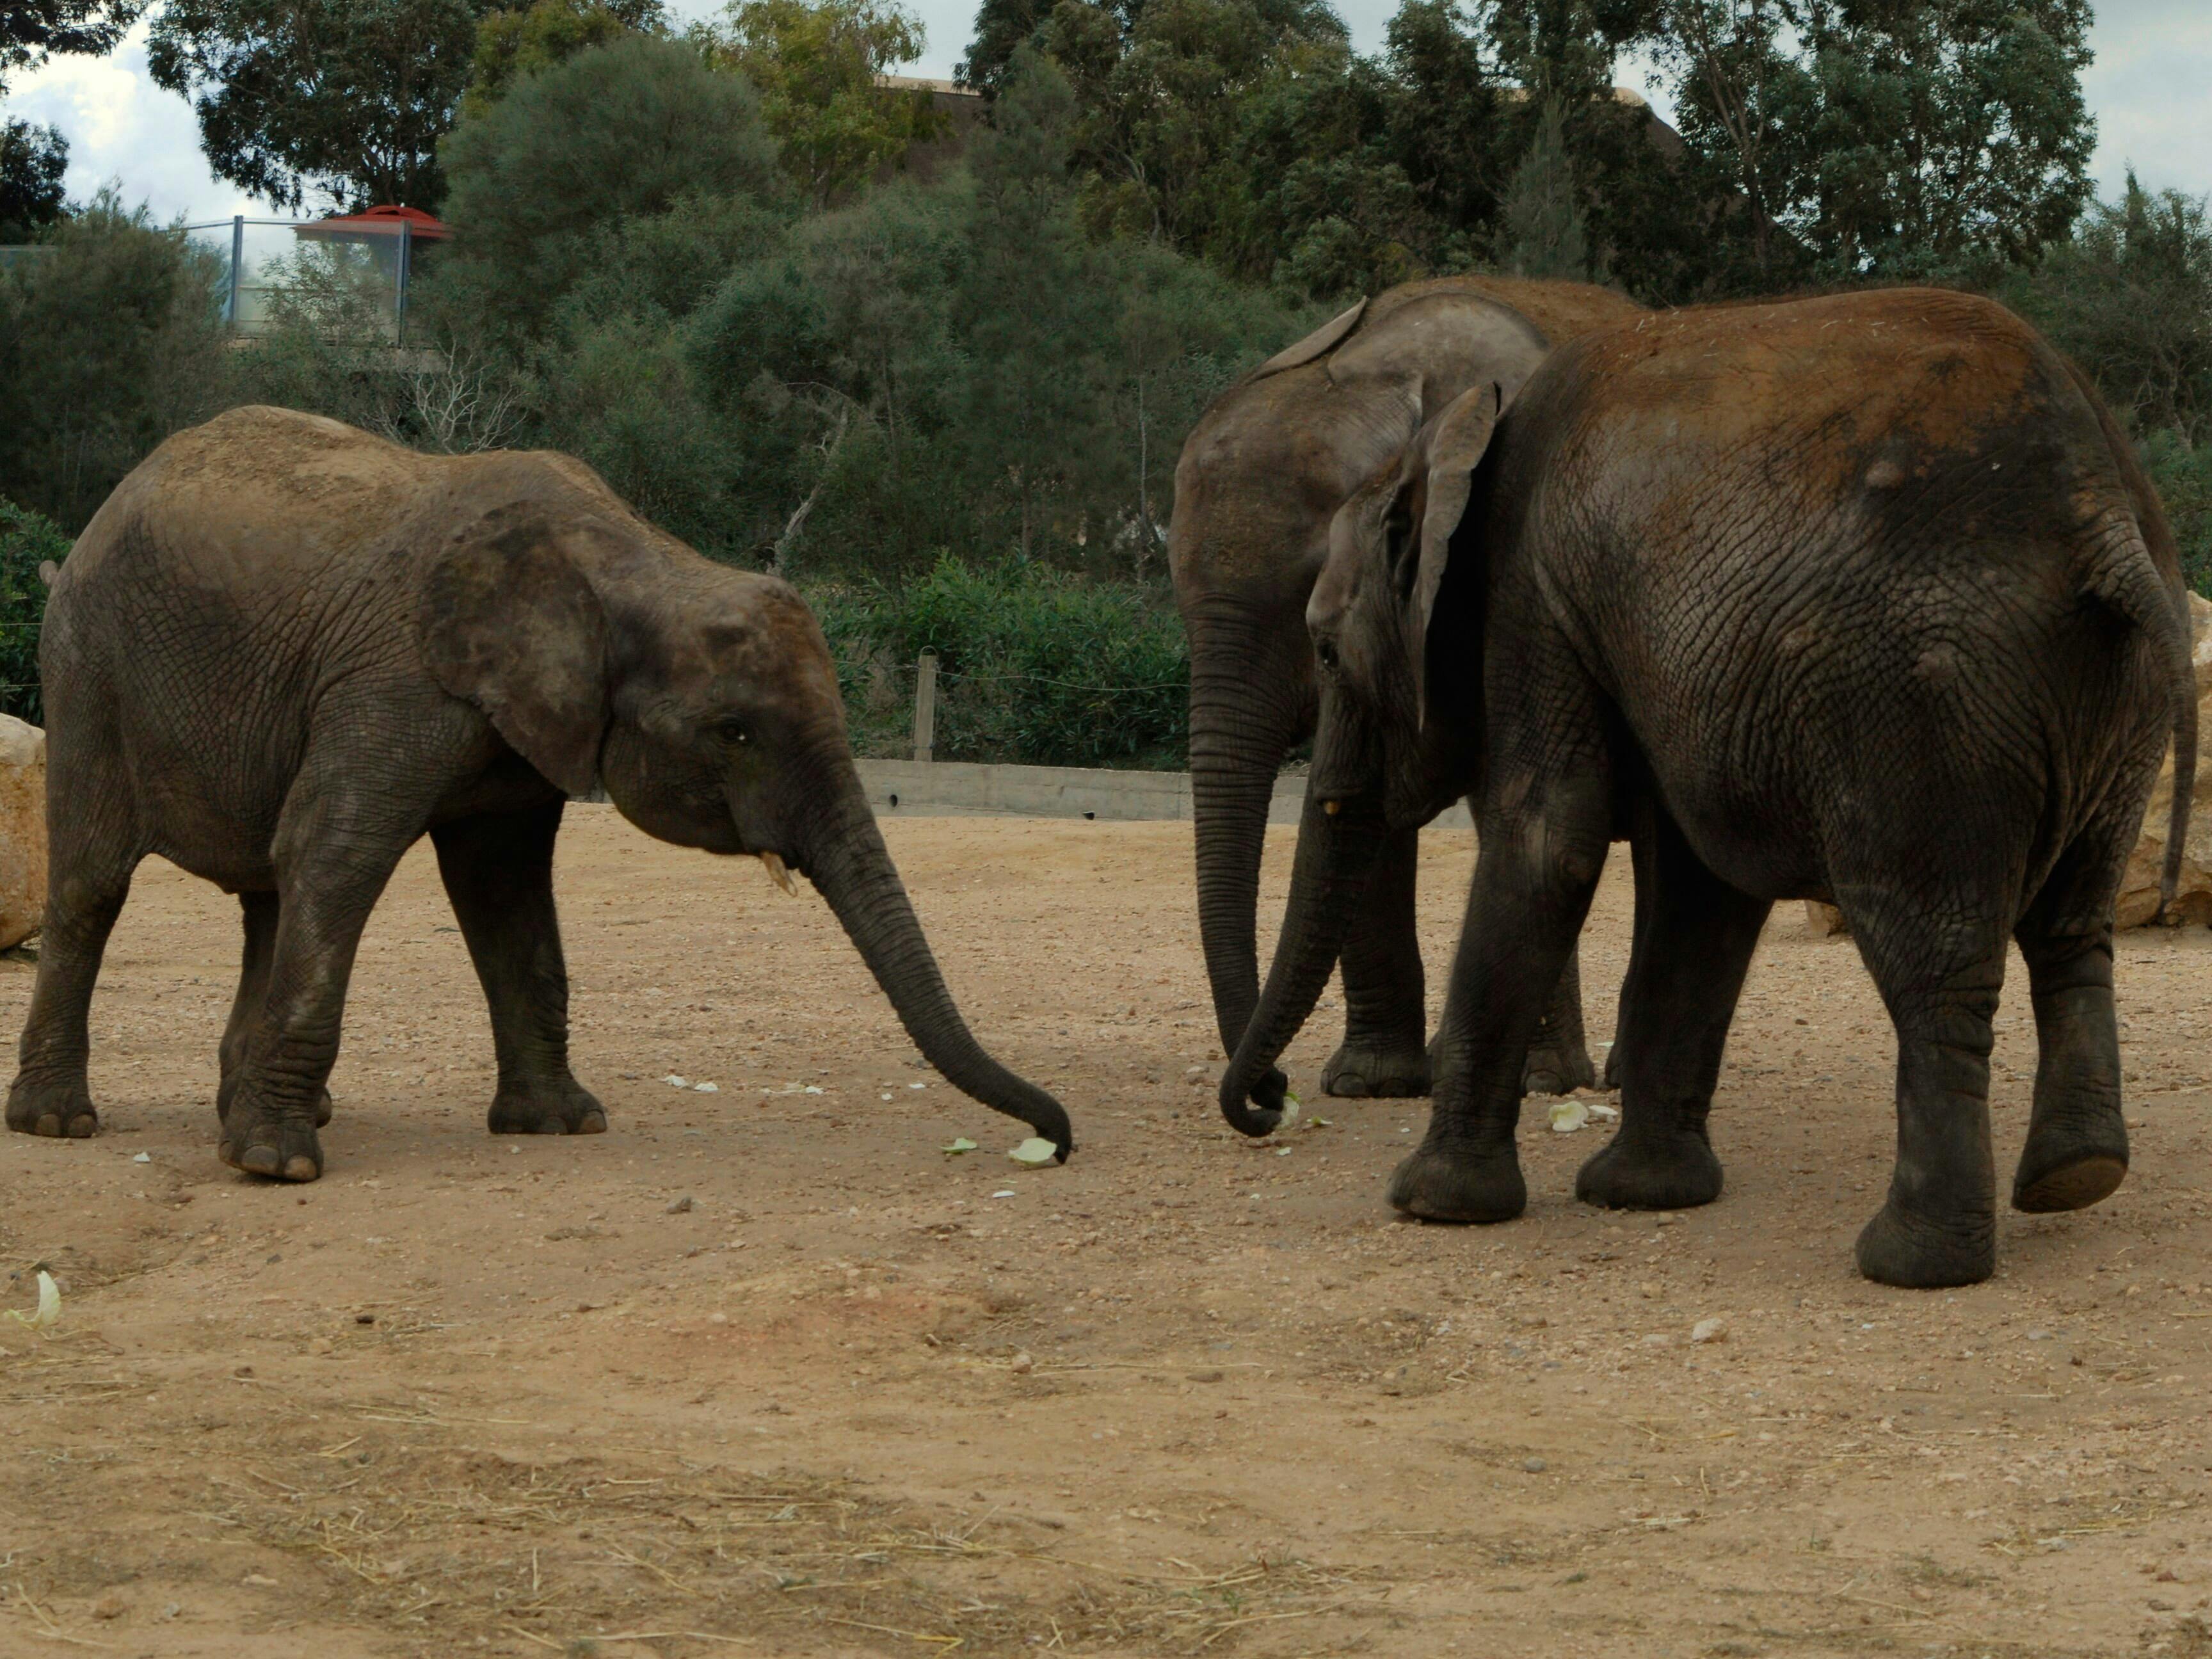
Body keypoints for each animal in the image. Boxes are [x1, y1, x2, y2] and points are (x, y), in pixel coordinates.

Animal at [0, 402, 1070, 1185]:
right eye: (735, 733)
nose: (1057, 1143)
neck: (630, 561)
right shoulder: (398, 680)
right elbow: (337, 850)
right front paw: (276, 1169)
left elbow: (506, 891)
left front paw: (558, 1128)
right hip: (86, 667)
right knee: (97, 883)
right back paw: (62, 1123)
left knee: (265, 894)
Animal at [1230, 292, 2194, 1292]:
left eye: (1326, 651)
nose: (1269, 1101)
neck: (1450, 447)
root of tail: (2102, 513)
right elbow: (1701, 885)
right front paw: (1643, 1197)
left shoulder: (1534, 601)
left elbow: (1550, 843)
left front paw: (1432, 1206)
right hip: (2111, 705)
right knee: (2073, 929)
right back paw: (2076, 1178)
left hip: (1918, 703)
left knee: (1934, 960)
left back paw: (1911, 1264)